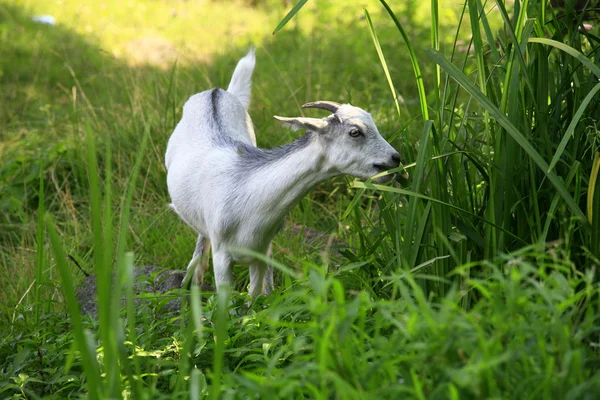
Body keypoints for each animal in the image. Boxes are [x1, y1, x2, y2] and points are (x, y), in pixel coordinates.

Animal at [163, 48, 404, 296]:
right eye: (355, 132)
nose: (395, 157)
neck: (249, 194)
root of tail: (217, 92)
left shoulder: (260, 252)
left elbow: (254, 298)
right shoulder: (222, 258)